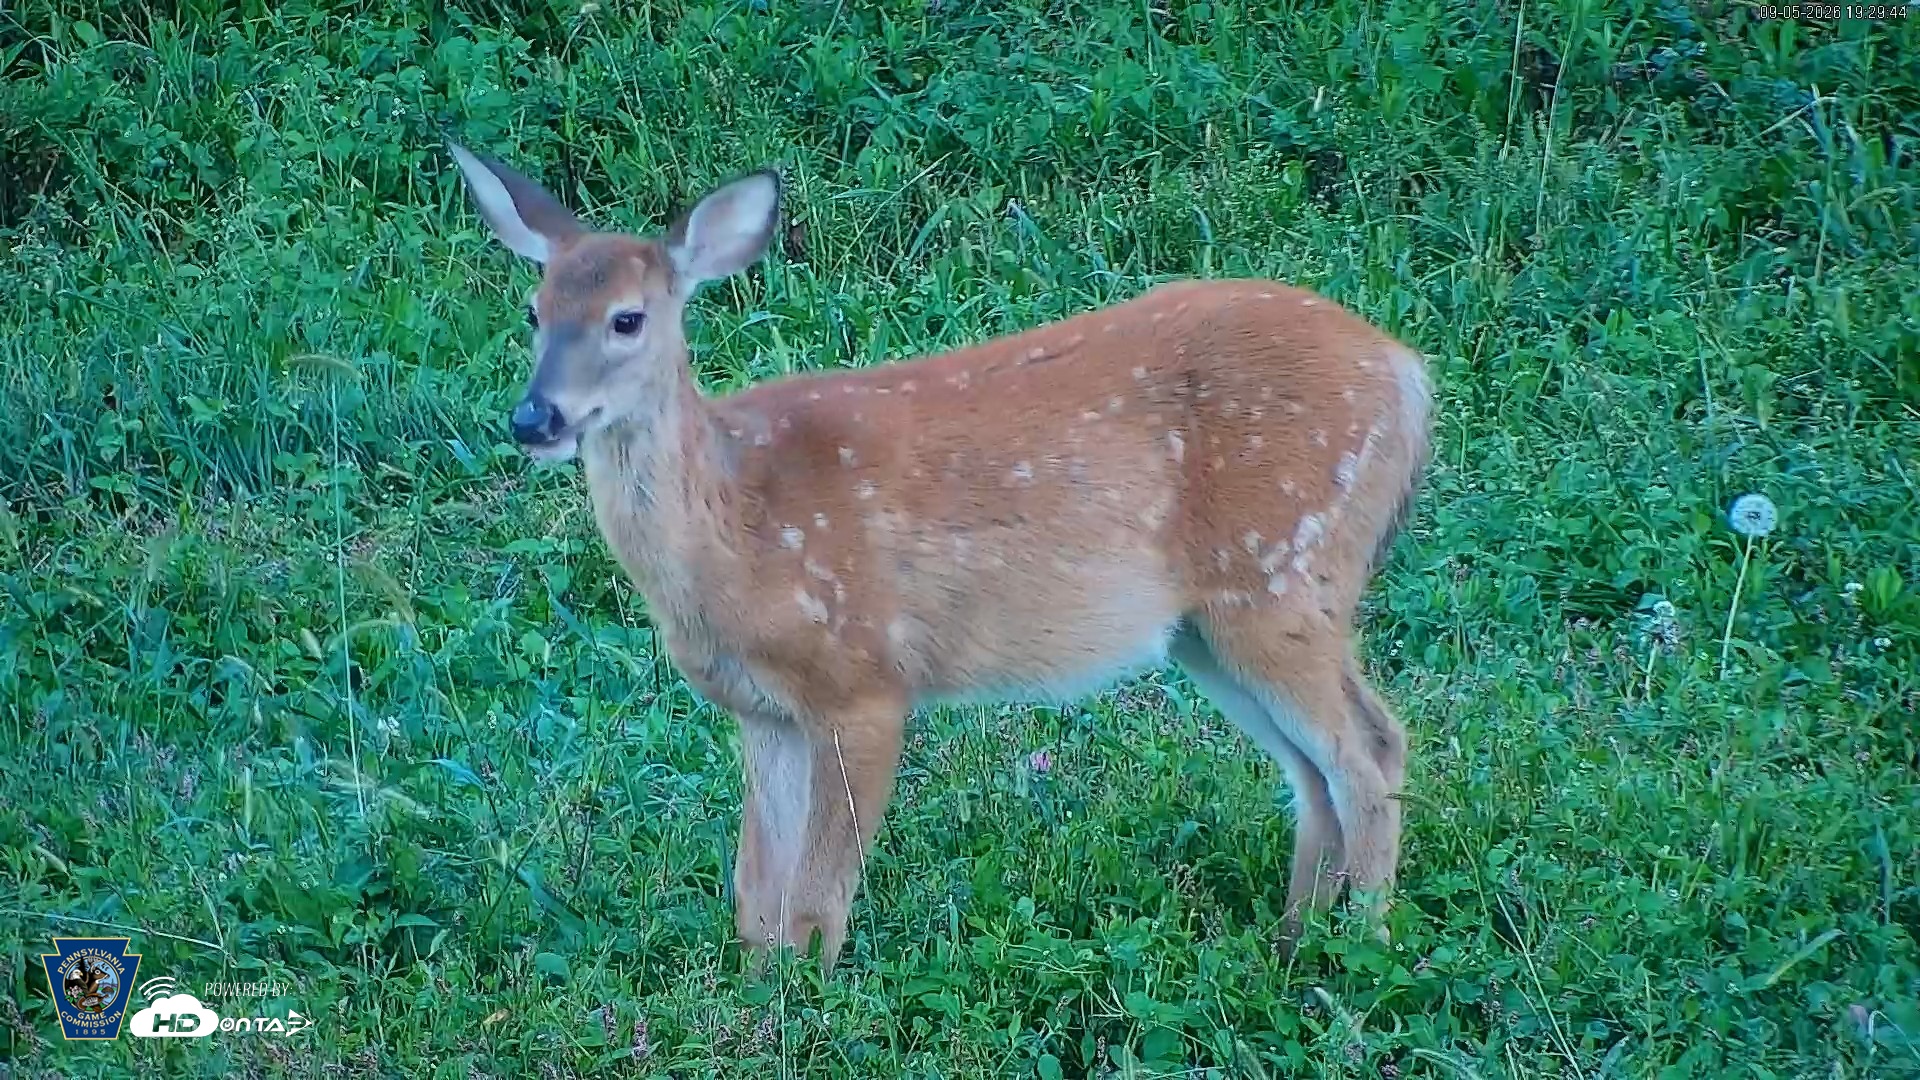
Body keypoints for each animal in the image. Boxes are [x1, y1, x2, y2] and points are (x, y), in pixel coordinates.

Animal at [445, 142, 1434, 970]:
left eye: (627, 319)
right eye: (533, 310)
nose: (535, 418)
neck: (739, 535)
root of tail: (1409, 373)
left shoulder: (863, 682)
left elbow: (816, 900)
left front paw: (808, 1012)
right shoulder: (762, 710)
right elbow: (754, 896)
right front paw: (757, 997)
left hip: (1280, 574)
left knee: (1370, 750)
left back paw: (1364, 952)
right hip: (1210, 628)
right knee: (1313, 771)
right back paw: (1295, 939)